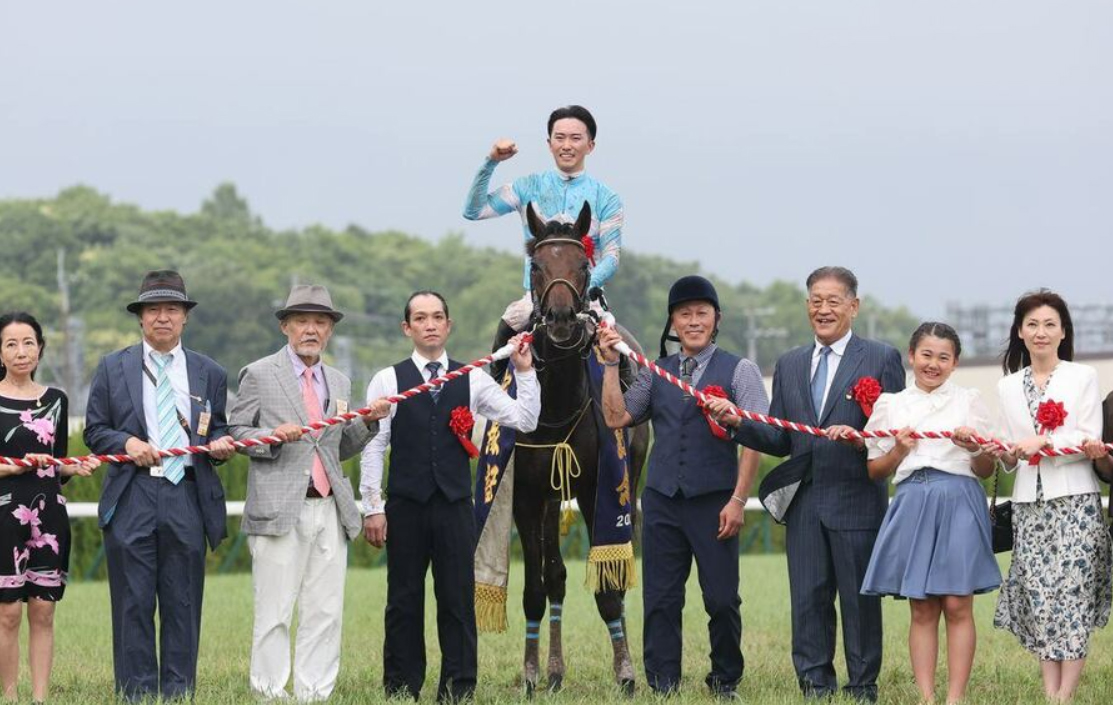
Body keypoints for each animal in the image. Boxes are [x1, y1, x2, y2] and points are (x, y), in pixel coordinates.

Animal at [512, 201, 650, 696]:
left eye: (584, 263)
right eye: (536, 265)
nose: (560, 321)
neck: (554, 402)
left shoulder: (596, 489)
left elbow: (609, 588)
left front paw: (625, 673)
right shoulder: (526, 495)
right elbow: (537, 586)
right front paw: (531, 674)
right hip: (553, 496)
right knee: (555, 577)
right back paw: (553, 671)